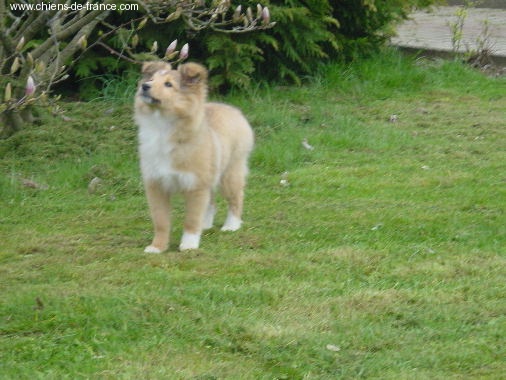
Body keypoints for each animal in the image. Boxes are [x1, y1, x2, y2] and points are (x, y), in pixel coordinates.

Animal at [133, 61, 253, 252]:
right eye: (151, 79)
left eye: (168, 84)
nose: (144, 86)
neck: (162, 126)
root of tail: (232, 109)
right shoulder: (156, 185)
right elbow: (161, 221)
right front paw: (157, 247)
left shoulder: (195, 185)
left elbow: (191, 219)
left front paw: (189, 244)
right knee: (210, 202)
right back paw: (205, 225)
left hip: (230, 173)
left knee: (236, 198)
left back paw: (231, 225)